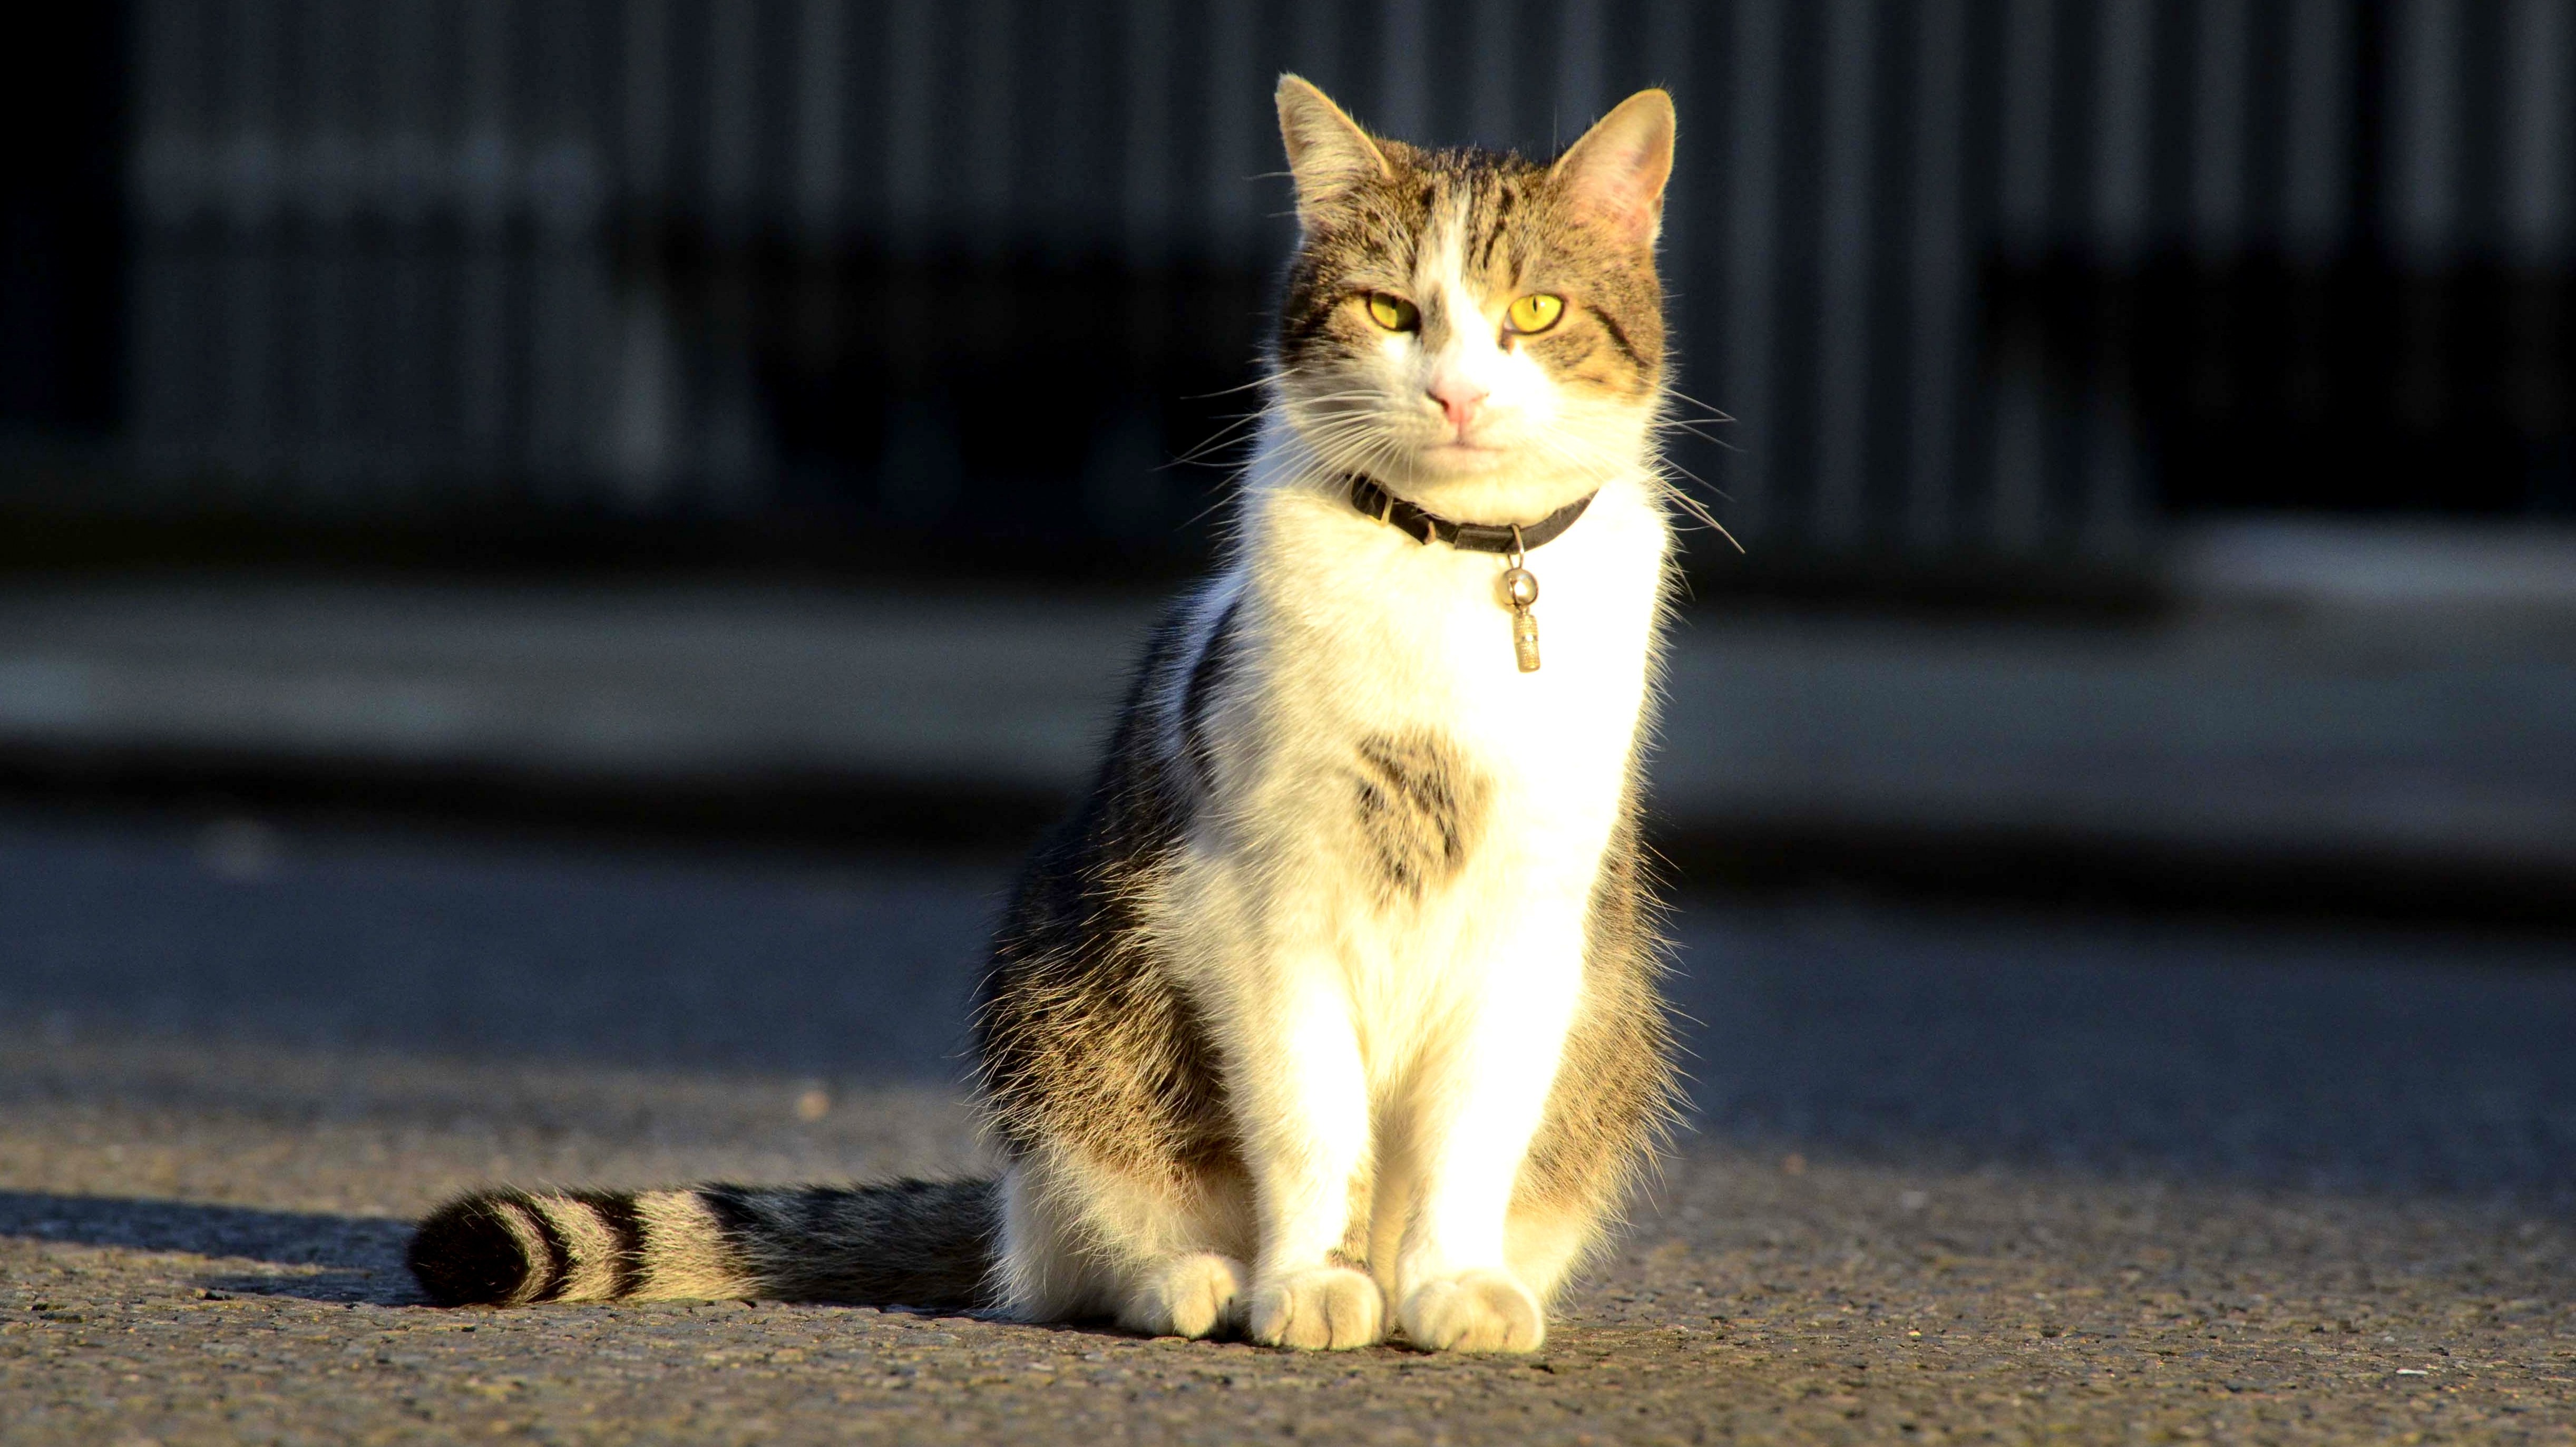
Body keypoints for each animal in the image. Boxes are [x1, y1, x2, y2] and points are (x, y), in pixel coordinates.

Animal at [409, 73, 1679, 1349]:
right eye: (1387, 310)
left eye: (1535, 308)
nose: (1456, 393)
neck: (1458, 572)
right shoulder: (1263, 904)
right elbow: (1308, 1119)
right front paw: (1311, 1280)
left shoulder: (1532, 920)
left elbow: (1471, 1132)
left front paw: (1451, 1283)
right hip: (1062, 1017)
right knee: (1077, 1246)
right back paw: (1194, 1281)